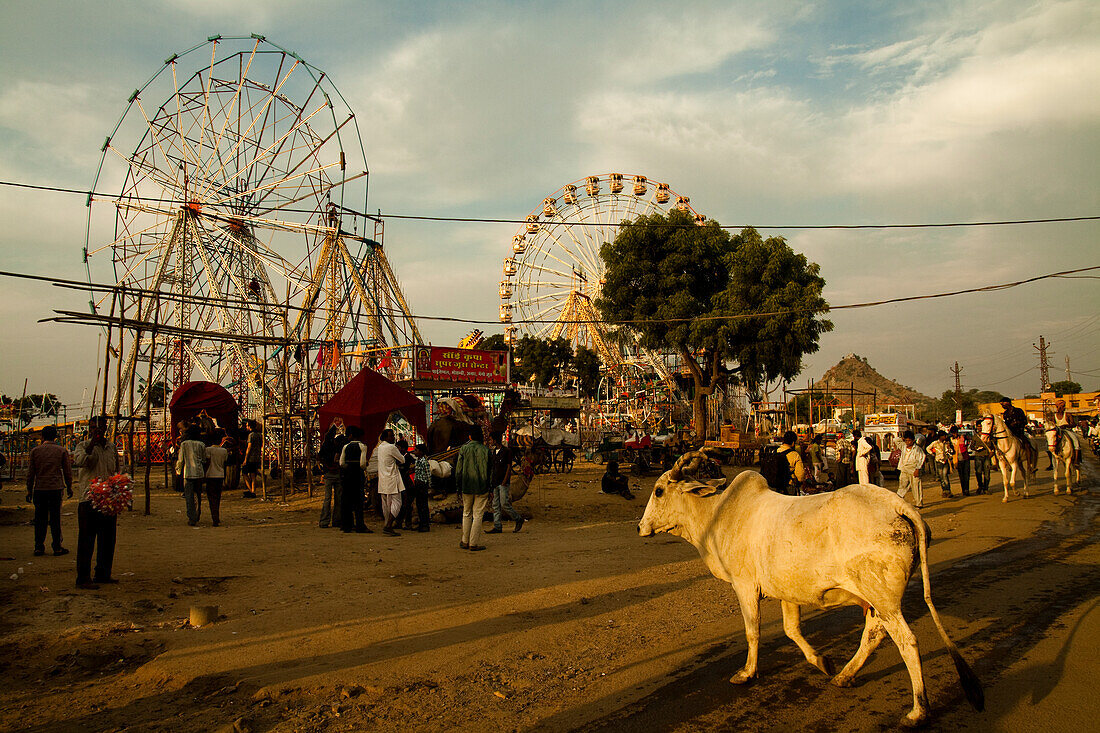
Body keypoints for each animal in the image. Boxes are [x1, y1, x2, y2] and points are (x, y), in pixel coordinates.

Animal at [642, 451, 985, 726]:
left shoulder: (745, 585)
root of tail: (897, 504)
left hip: (882, 596)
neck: (716, 514)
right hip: (877, 599)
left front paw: (747, 673)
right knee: (874, 633)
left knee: (906, 641)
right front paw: (822, 662)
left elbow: (753, 632)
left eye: (659, 491)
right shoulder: (785, 590)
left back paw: (917, 711)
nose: (640, 527)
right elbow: (791, 629)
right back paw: (844, 675)